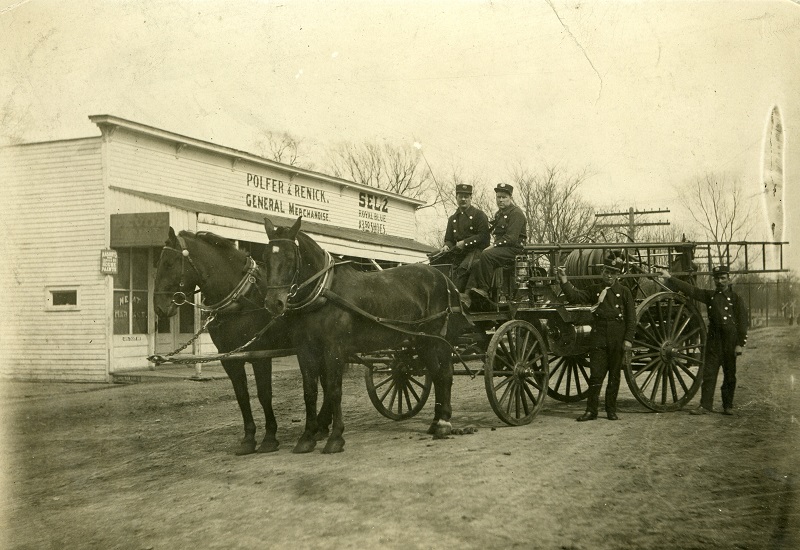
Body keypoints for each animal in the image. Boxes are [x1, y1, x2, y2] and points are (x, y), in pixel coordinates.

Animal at [153, 229, 294, 458]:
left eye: (169, 263)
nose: (158, 308)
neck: (242, 298)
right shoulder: (230, 359)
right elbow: (242, 396)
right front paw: (248, 439)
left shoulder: (261, 355)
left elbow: (264, 394)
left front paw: (270, 438)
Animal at [260, 218, 472, 454]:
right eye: (265, 258)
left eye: (290, 258)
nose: (273, 303)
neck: (325, 292)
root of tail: (443, 278)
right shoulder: (305, 350)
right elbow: (310, 391)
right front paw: (307, 438)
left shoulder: (334, 349)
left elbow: (333, 390)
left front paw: (335, 437)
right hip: (422, 341)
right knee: (435, 375)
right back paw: (436, 422)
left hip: (438, 340)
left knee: (445, 375)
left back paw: (444, 423)